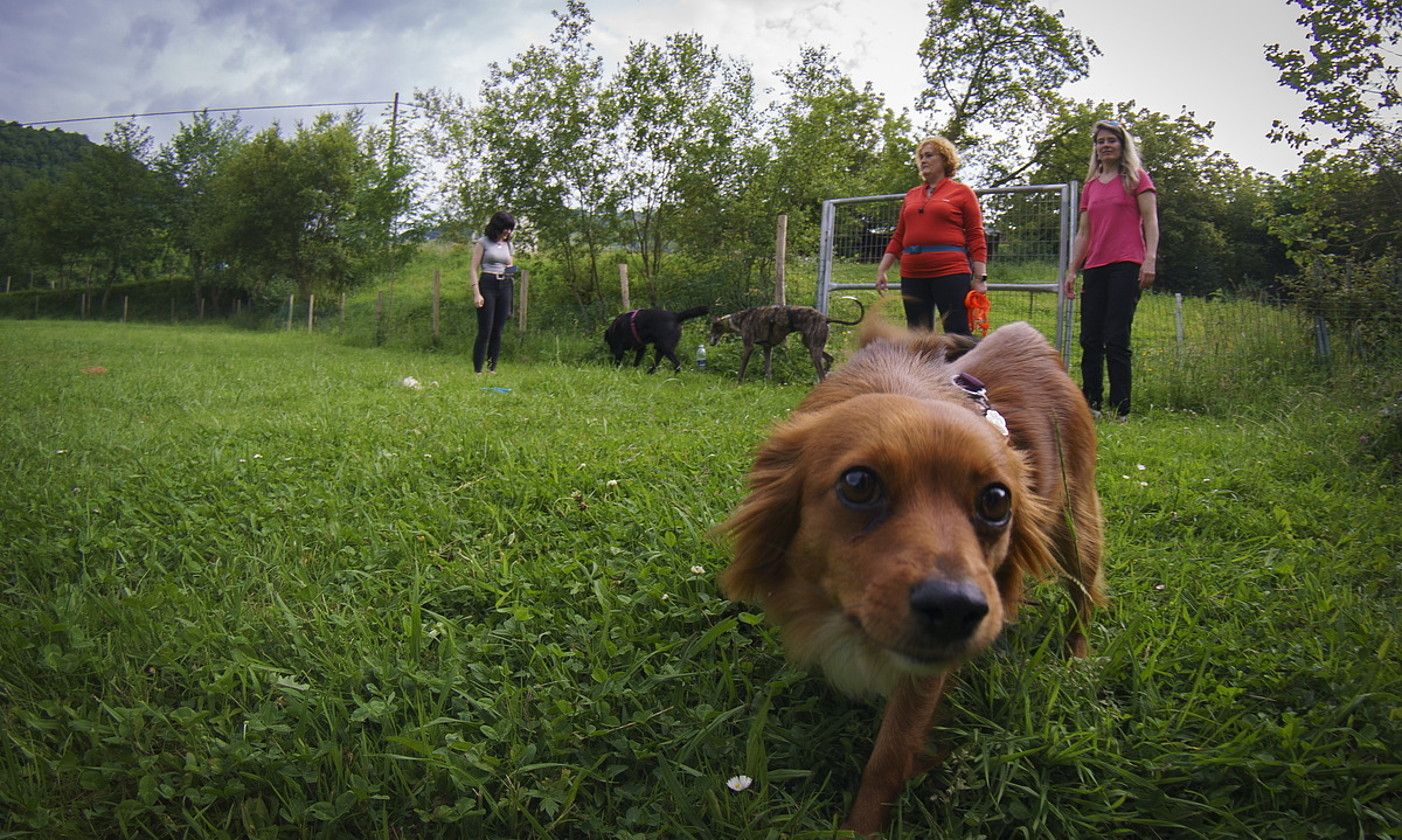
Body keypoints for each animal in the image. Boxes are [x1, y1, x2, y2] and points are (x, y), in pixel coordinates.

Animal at [712, 297, 863, 384]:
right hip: (810, 343)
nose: (710, 343)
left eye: (712, 330)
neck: (740, 319)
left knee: (821, 373)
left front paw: (738, 381)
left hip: (814, 349)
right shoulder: (767, 347)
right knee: (830, 359)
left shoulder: (749, 346)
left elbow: (742, 367)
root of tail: (825, 318)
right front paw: (767, 383)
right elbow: (768, 369)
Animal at [723, 322, 1104, 835]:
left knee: (1083, 595)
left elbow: (890, 754)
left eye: (997, 500)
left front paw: (860, 829)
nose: (957, 608)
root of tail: (1026, 334)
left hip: (1076, 529)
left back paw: (1074, 658)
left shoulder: (924, 674)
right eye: (858, 483)